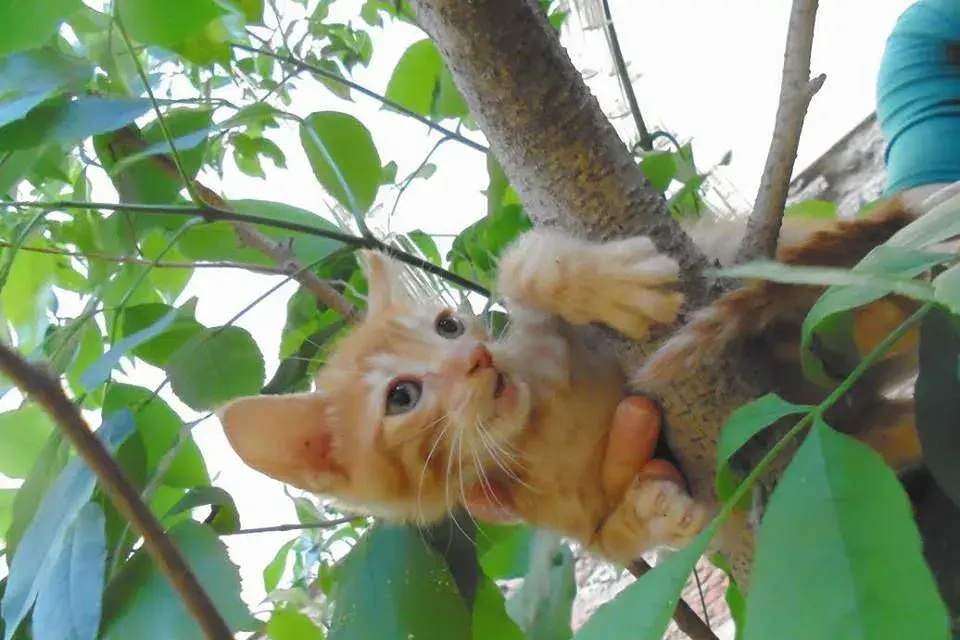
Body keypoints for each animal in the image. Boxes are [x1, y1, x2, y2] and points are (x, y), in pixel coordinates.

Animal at [219, 231, 712, 564]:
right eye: (402, 396)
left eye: (448, 325)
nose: (477, 357)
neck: (537, 430)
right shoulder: (579, 522)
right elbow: (615, 539)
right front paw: (654, 513)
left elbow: (524, 264)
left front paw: (613, 283)